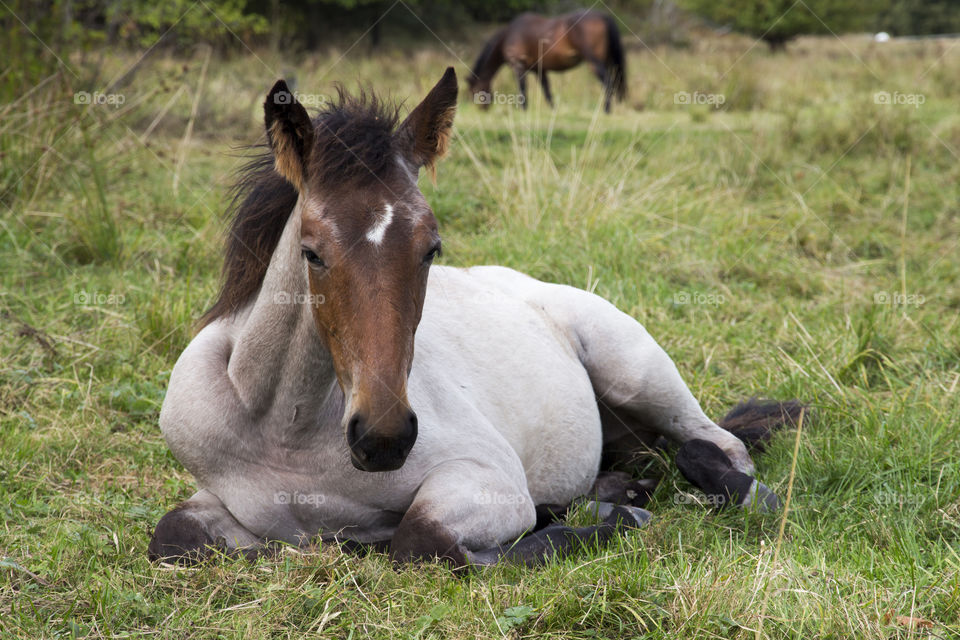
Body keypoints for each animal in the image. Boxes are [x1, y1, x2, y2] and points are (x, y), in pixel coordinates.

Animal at [148, 70, 796, 568]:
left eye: (431, 248)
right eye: (312, 252)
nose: (383, 438)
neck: (287, 432)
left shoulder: (489, 481)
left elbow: (423, 541)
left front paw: (611, 522)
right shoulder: (213, 501)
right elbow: (172, 537)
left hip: (639, 376)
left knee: (716, 447)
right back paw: (616, 490)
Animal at [466, 9, 632, 112]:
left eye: (474, 90)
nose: (482, 109)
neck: (509, 36)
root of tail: (603, 16)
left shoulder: (518, 67)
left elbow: (523, 89)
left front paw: (524, 110)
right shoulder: (540, 70)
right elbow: (547, 90)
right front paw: (553, 109)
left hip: (595, 63)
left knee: (608, 82)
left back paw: (606, 110)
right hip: (608, 62)